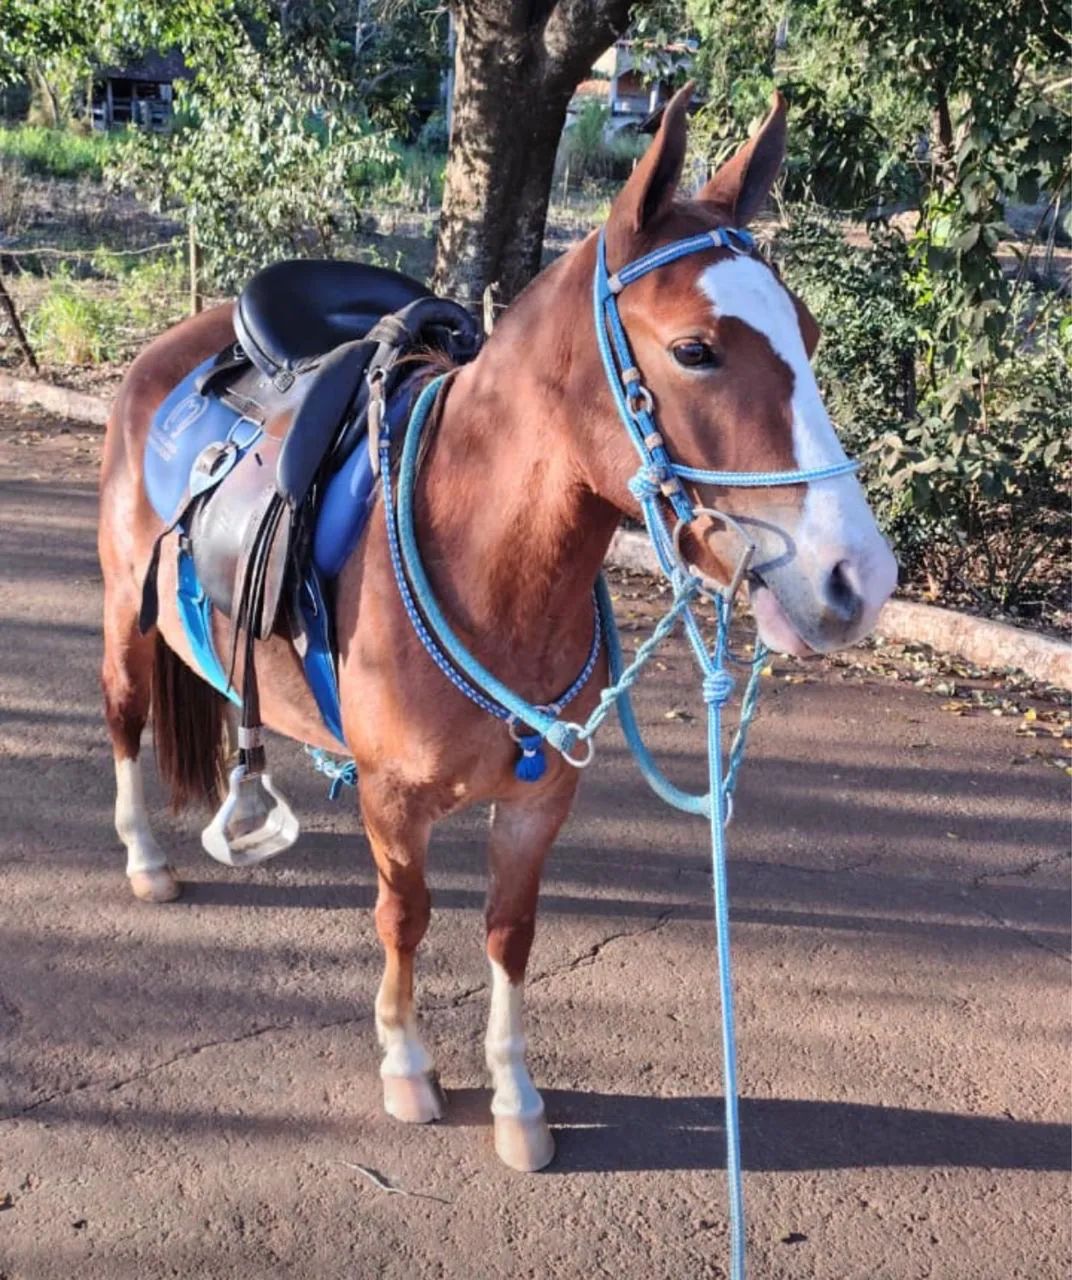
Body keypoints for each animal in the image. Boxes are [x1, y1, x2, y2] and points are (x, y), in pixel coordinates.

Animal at [97, 86, 897, 1173]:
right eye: (695, 348)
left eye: (807, 335)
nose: (856, 577)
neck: (487, 567)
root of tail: (179, 340)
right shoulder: (394, 802)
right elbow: (404, 916)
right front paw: (406, 1064)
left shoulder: (537, 802)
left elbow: (508, 931)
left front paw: (516, 1100)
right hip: (123, 622)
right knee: (126, 721)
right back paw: (145, 858)